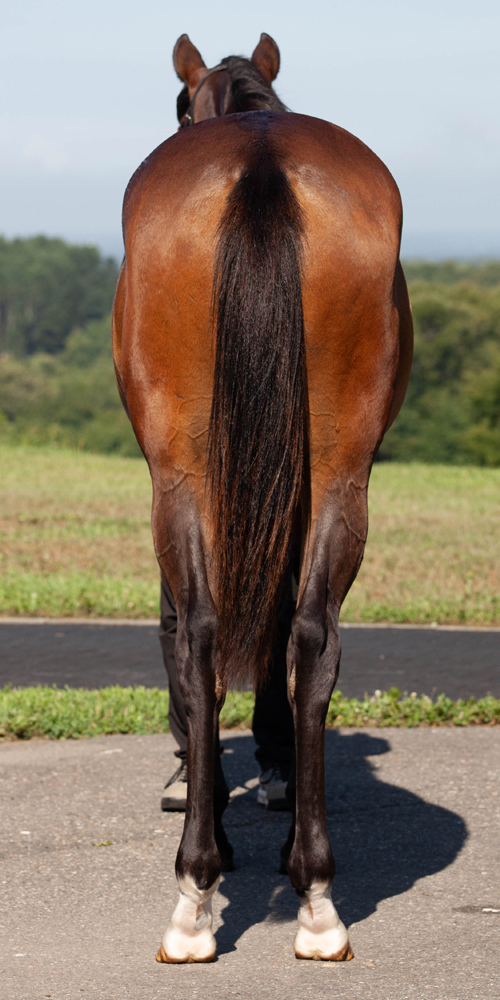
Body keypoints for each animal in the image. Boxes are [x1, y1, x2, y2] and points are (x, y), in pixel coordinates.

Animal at [112, 32, 413, 964]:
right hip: (342, 470)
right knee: (312, 634)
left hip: (181, 475)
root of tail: (261, 162)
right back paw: (315, 893)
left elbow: (186, 634)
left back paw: (196, 888)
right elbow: (284, 622)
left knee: (201, 633)